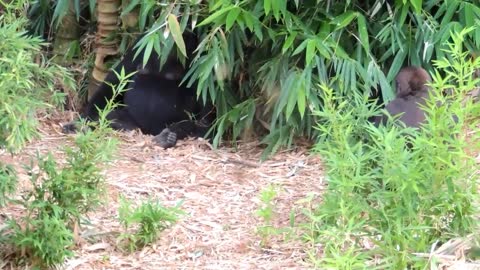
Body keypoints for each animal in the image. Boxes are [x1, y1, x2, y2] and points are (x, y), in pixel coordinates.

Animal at [63, 33, 214, 150]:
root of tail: (147, 130)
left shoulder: (199, 60)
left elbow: (205, 109)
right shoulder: (139, 46)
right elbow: (115, 82)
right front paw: (81, 121)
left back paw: (166, 137)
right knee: (113, 115)